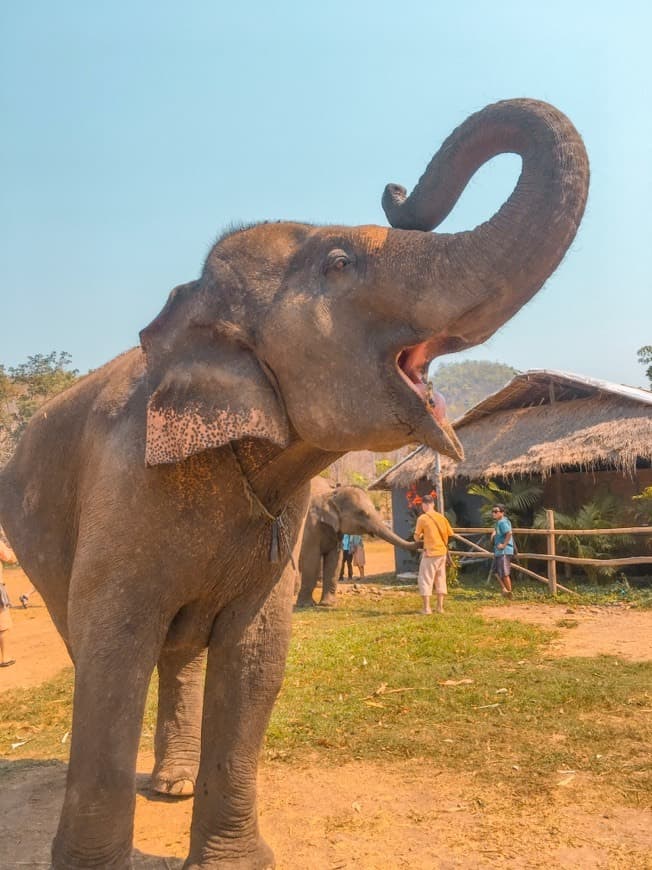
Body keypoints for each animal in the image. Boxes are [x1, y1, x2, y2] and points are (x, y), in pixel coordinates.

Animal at [296, 476, 418, 608]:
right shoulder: (310, 527)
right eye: (362, 513)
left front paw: (328, 604)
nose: (419, 538)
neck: (331, 495)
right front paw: (306, 605)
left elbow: (335, 559)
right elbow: (311, 558)